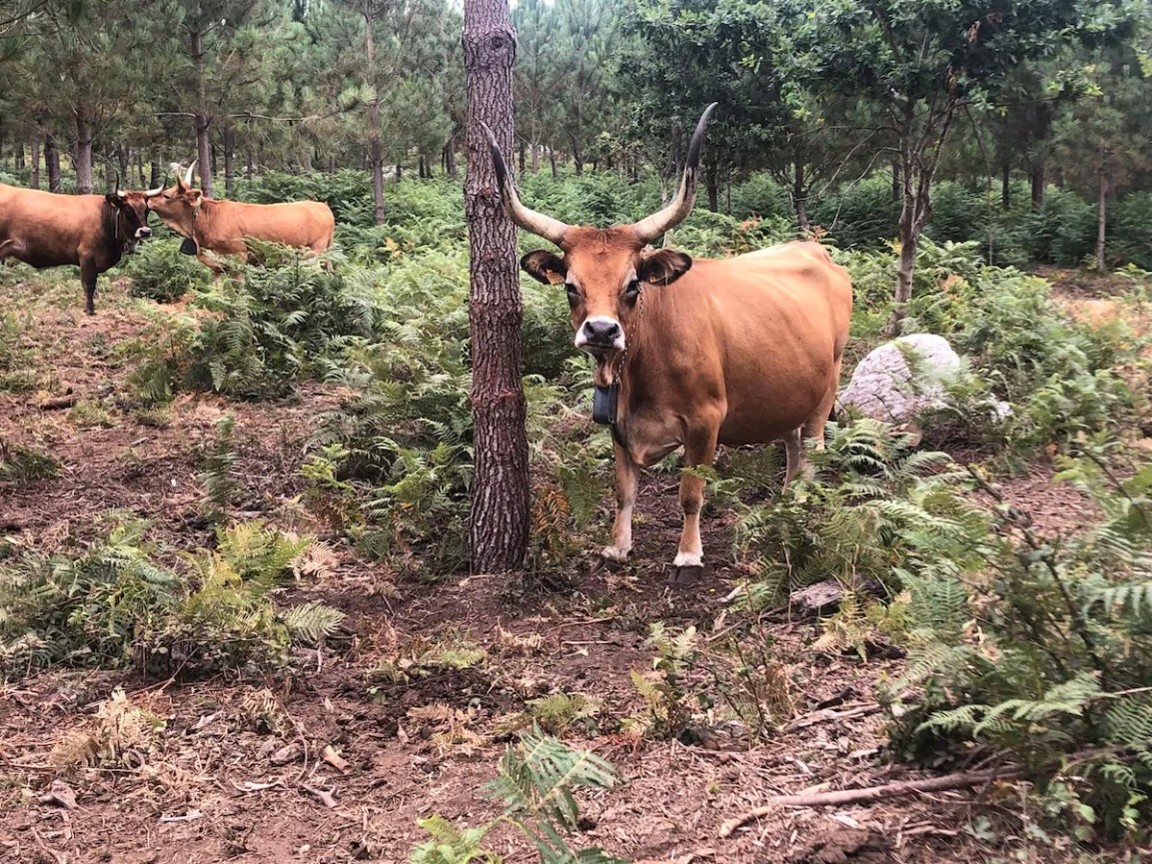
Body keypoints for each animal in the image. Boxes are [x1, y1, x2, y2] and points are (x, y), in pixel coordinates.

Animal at [0, 183, 152, 314]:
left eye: (146, 210)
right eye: (128, 210)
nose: (145, 231)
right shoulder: (86, 256)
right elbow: (89, 285)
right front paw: (90, 310)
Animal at [143, 162, 336, 274]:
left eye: (167, 196)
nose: (148, 199)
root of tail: (322, 205)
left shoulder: (238, 256)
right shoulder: (218, 266)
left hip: (314, 250)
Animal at [484, 104, 853, 579]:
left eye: (632, 285)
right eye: (570, 286)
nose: (601, 331)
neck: (640, 372)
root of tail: (815, 253)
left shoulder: (706, 422)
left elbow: (691, 492)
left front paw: (689, 554)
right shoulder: (618, 425)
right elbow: (623, 490)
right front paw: (617, 546)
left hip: (828, 387)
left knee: (811, 451)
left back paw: (801, 506)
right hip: (792, 390)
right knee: (791, 447)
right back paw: (784, 503)